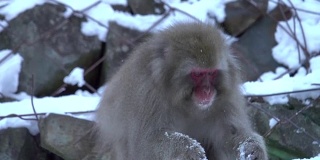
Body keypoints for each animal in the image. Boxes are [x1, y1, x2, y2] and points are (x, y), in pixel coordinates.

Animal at [94, 21, 268, 159]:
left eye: (211, 73)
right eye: (197, 74)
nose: (207, 91)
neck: (186, 103)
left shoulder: (226, 98)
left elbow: (231, 133)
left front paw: (252, 147)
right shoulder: (148, 95)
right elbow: (146, 143)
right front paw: (188, 149)